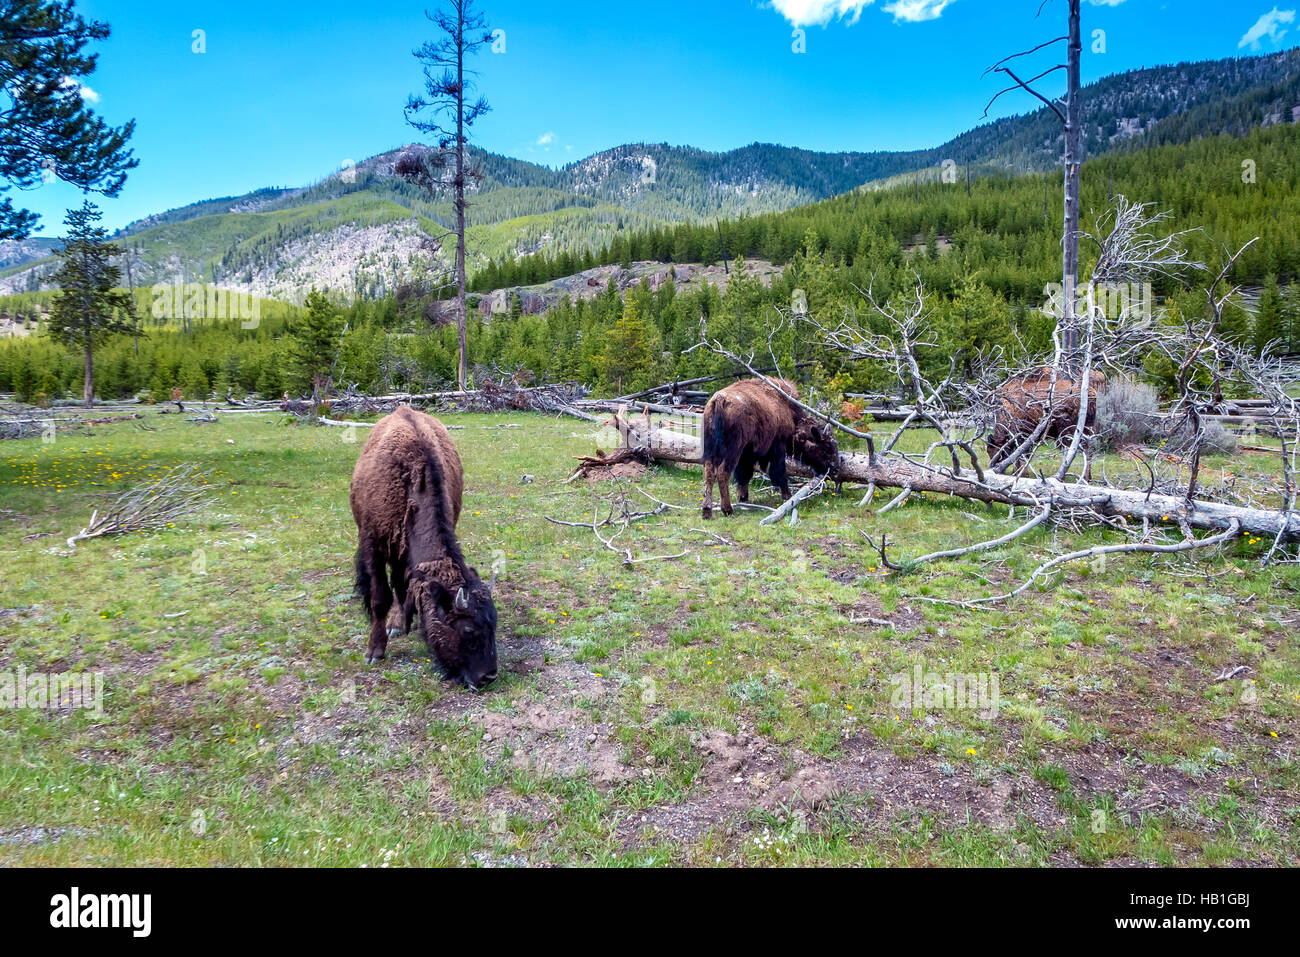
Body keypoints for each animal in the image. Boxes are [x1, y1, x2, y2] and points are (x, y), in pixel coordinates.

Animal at [351, 408, 496, 691]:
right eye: (468, 631)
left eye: (493, 624)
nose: (489, 676)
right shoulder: (374, 547)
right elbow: (379, 598)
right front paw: (375, 651)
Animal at [707, 377, 837, 520]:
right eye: (826, 447)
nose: (835, 467)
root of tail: (720, 399)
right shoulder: (778, 446)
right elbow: (779, 471)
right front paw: (787, 497)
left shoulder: (748, 454)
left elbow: (745, 475)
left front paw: (743, 498)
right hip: (732, 450)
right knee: (722, 473)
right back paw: (727, 510)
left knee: (709, 473)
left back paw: (706, 511)